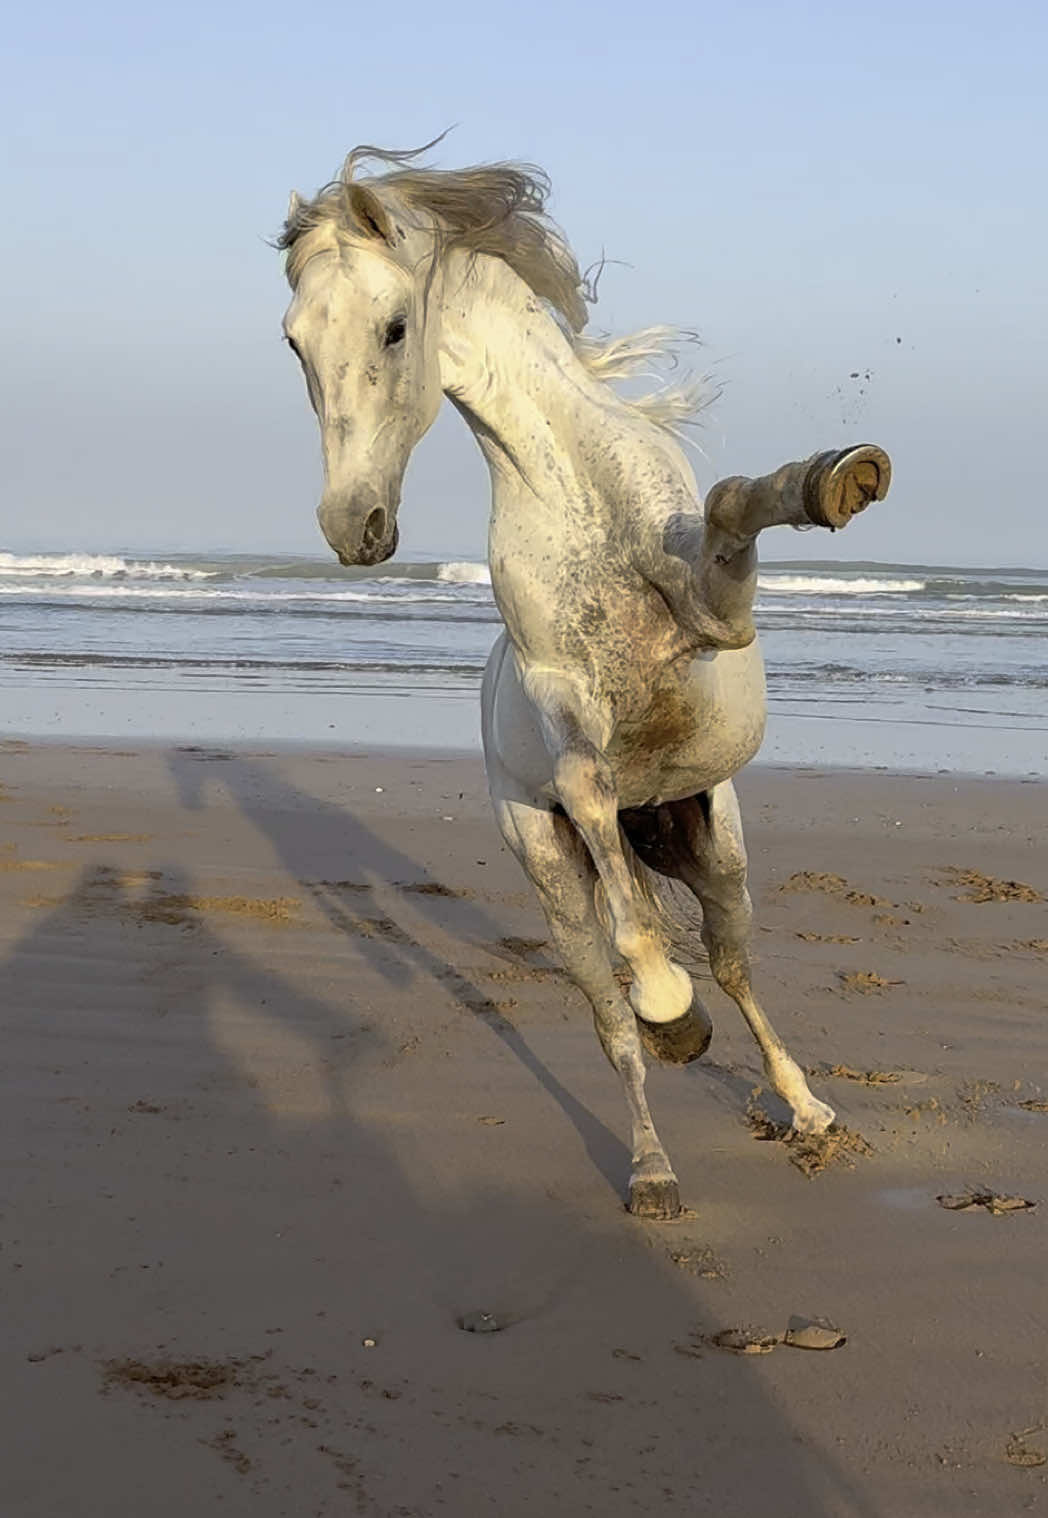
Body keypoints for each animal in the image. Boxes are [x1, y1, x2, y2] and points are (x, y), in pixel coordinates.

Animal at [277, 142, 891, 1219]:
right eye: (294, 343)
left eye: (394, 326)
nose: (353, 527)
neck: (575, 493)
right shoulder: (562, 698)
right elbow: (588, 793)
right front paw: (666, 1005)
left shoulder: (716, 620)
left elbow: (733, 504)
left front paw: (837, 476)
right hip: (553, 873)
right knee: (612, 1008)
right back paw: (654, 1153)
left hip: (713, 842)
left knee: (733, 963)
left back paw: (808, 1109)